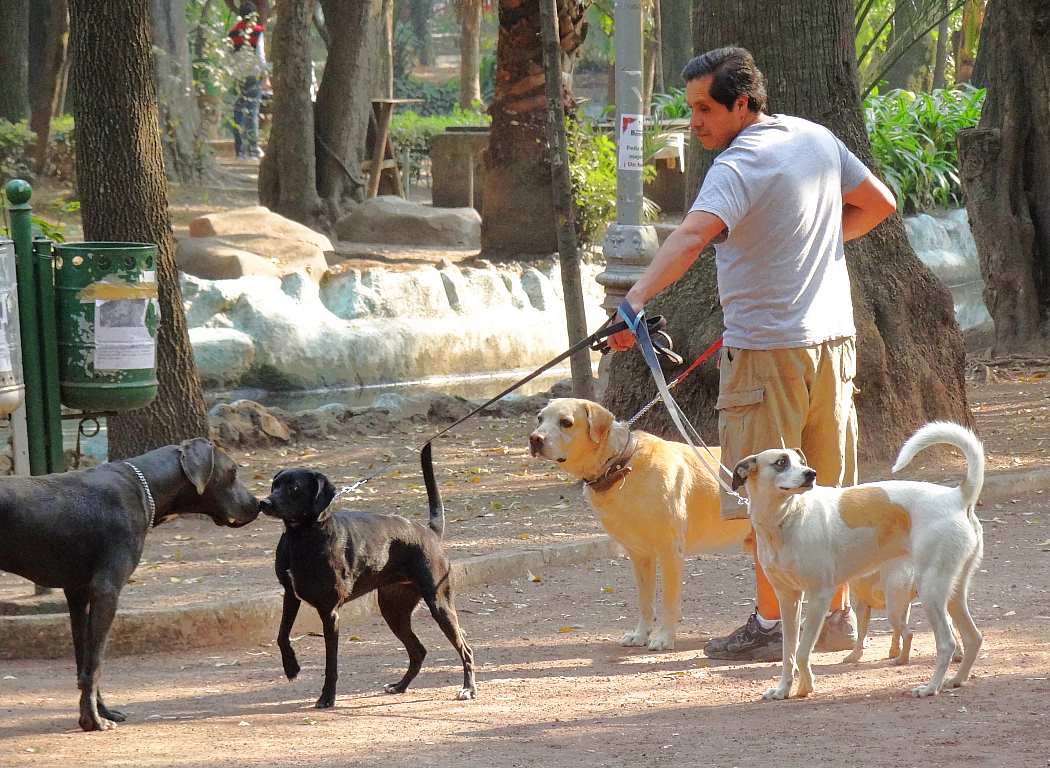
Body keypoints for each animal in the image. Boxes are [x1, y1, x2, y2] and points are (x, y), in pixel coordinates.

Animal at [0, 439, 260, 731]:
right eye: (233, 471)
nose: (259, 503)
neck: (144, 485)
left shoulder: (78, 593)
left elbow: (84, 660)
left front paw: (100, 711)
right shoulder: (106, 590)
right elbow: (96, 662)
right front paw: (93, 720)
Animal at [260, 445, 478, 710]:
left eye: (294, 488)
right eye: (275, 485)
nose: (263, 502)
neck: (302, 537)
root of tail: (429, 532)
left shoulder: (329, 612)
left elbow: (331, 664)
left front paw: (327, 698)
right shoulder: (290, 595)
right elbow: (282, 635)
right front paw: (291, 667)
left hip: (439, 604)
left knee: (465, 649)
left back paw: (468, 689)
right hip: (393, 610)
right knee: (418, 651)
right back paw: (400, 686)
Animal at [533, 399, 747, 651]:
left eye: (566, 422)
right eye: (539, 418)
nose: (534, 439)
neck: (620, 465)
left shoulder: (670, 551)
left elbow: (669, 601)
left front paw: (664, 637)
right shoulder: (639, 555)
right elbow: (645, 602)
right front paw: (640, 635)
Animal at [730, 424, 982, 701]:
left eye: (801, 462)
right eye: (781, 462)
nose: (811, 474)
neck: (787, 518)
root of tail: (957, 496)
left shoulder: (819, 596)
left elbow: (803, 651)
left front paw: (806, 687)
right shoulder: (788, 599)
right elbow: (789, 652)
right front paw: (783, 689)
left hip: (931, 591)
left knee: (947, 643)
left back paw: (930, 687)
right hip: (953, 593)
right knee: (974, 638)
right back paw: (956, 680)